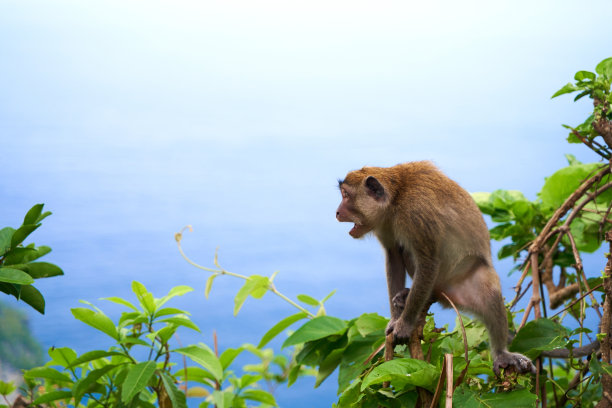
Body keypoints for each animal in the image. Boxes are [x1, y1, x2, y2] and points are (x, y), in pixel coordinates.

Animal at [334, 162, 536, 376]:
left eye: (346, 195)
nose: (337, 212)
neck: (396, 200)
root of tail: (443, 292)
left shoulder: (415, 213)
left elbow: (428, 261)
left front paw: (404, 325)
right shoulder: (384, 224)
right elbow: (394, 255)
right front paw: (395, 319)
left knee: (489, 294)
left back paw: (502, 354)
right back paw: (407, 295)